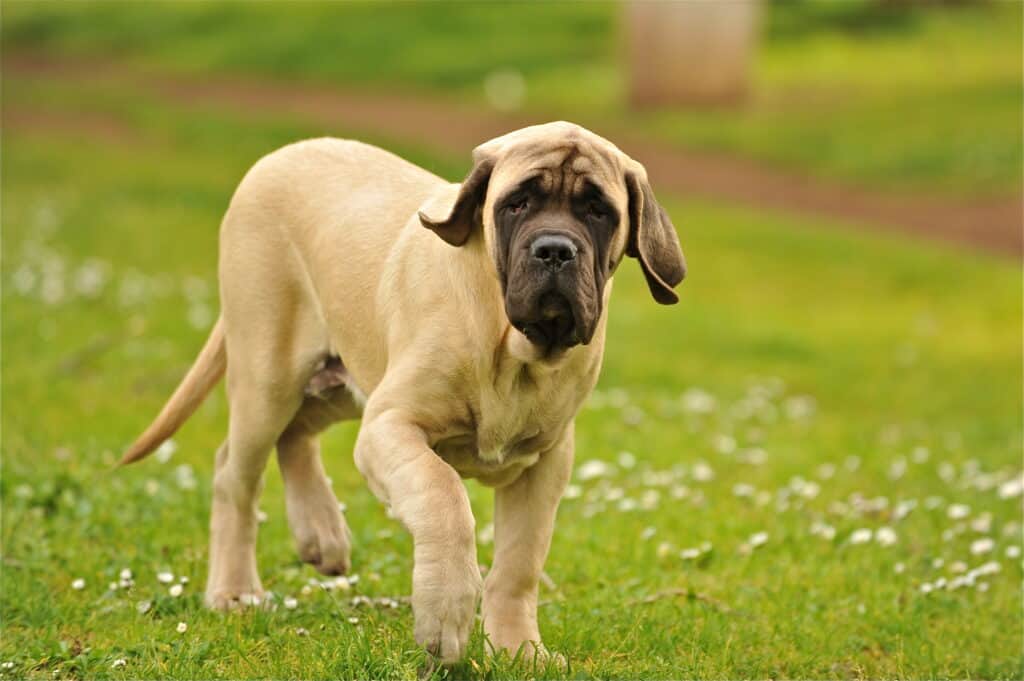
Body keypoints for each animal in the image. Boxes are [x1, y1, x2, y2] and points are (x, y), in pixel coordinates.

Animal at [121, 119, 688, 659]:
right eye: (517, 203)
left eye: (597, 210)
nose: (554, 250)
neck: (512, 351)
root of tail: (276, 156)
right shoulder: (391, 425)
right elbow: (444, 495)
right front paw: (446, 613)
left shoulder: (547, 461)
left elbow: (519, 564)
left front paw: (519, 650)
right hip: (270, 376)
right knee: (234, 474)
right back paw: (236, 590)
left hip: (343, 381)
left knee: (295, 435)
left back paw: (320, 533)